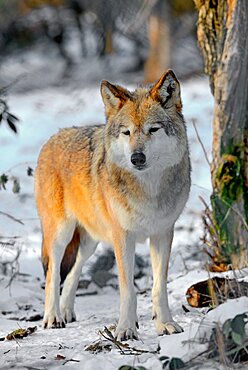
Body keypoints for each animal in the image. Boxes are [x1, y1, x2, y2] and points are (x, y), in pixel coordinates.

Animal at [34, 69, 190, 342]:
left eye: (153, 129)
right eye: (126, 132)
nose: (137, 158)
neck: (148, 190)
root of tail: (53, 138)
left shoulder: (162, 234)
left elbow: (159, 287)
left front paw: (166, 325)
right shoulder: (123, 237)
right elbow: (128, 290)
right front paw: (126, 329)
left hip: (91, 241)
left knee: (74, 270)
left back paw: (66, 312)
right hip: (61, 234)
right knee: (53, 273)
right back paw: (53, 317)